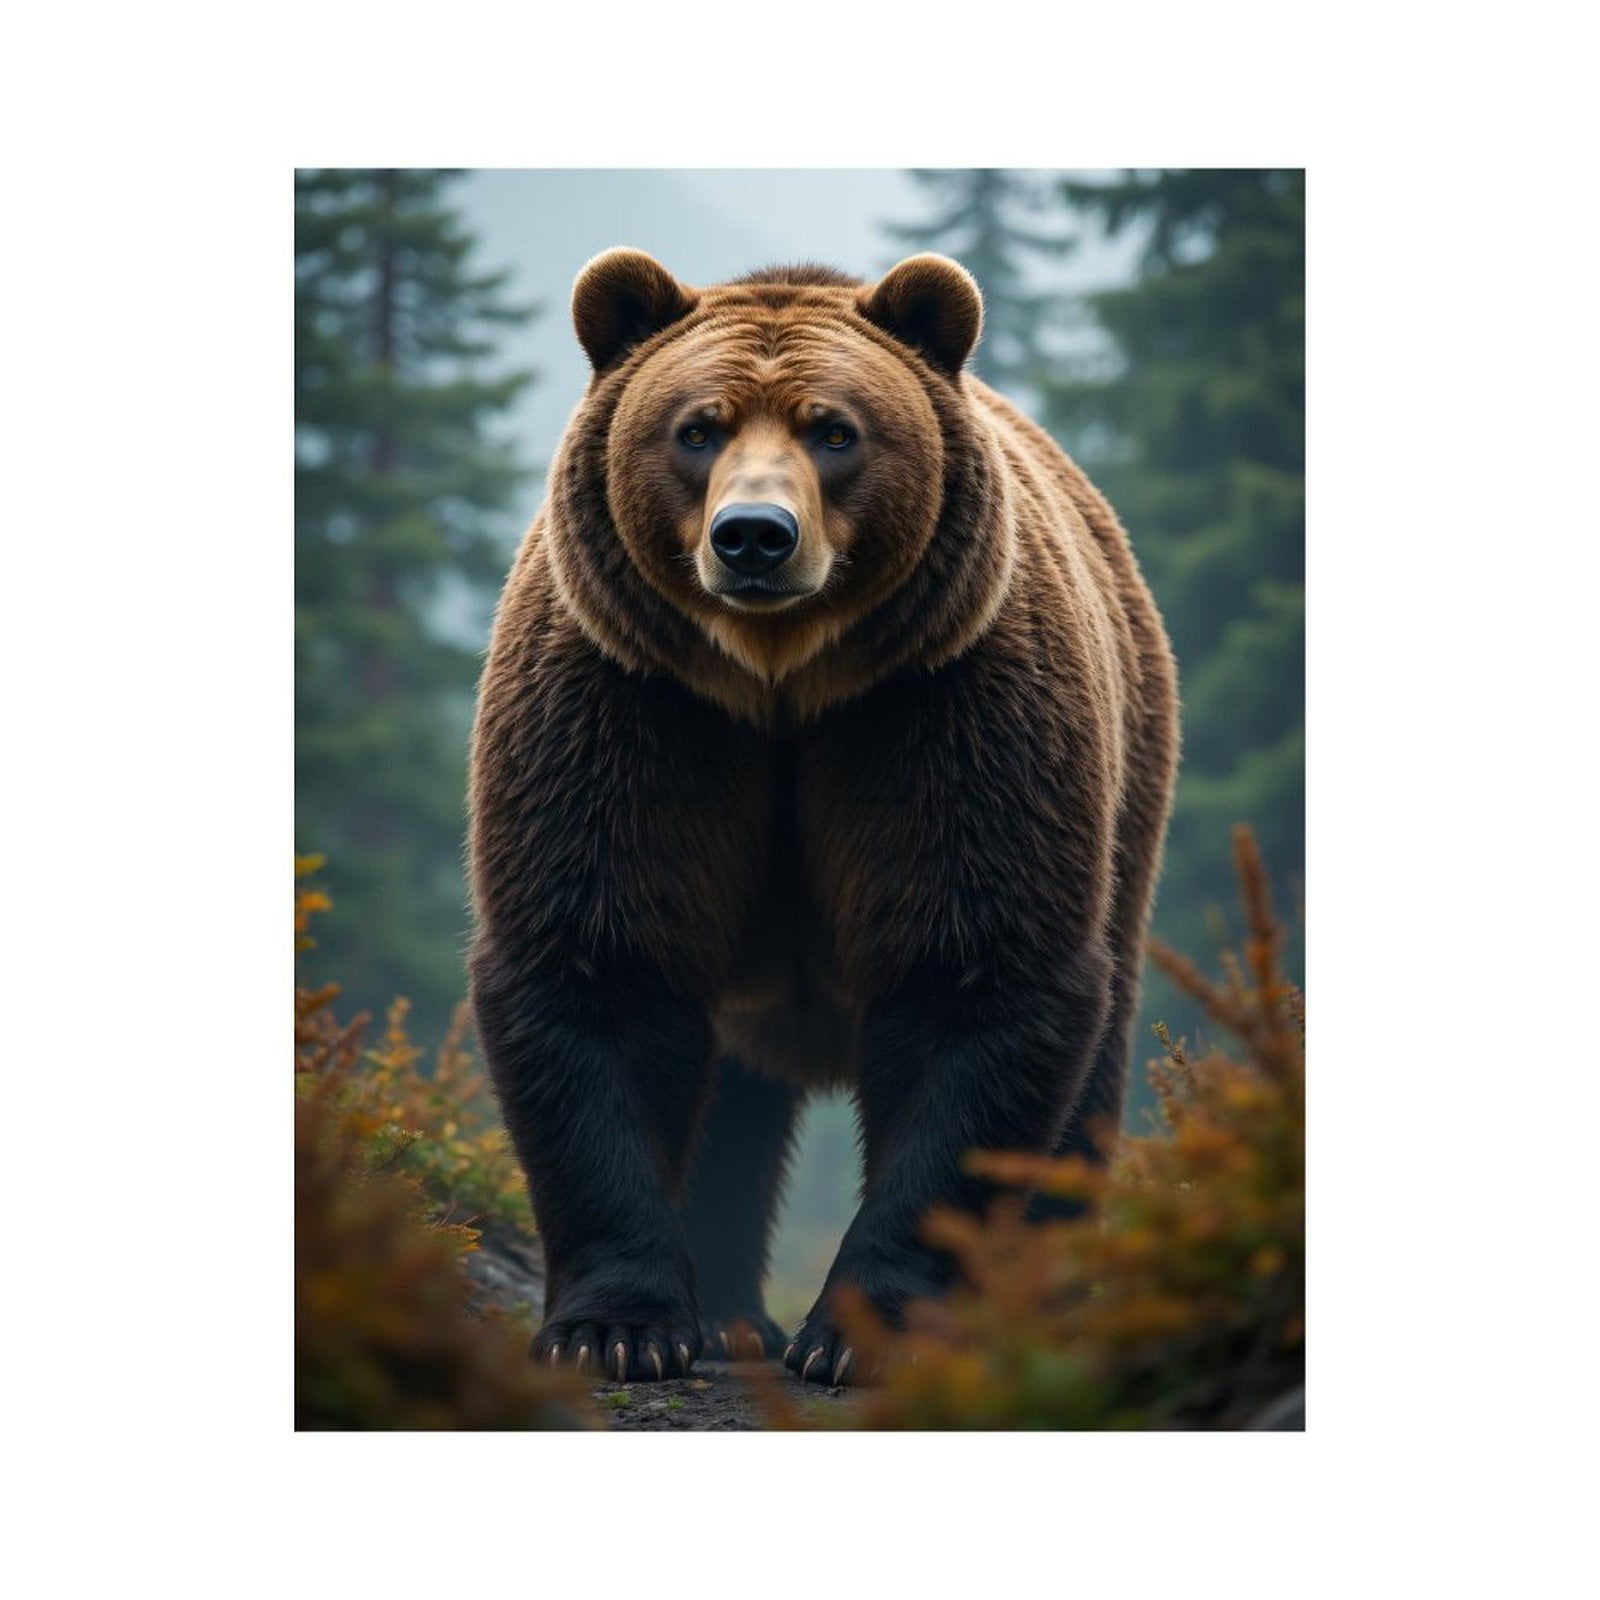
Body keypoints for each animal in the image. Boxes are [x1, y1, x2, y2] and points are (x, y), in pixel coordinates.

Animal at [467, 249, 1179, 1386]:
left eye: (834, 429)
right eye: (698, 427)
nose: (755, 536)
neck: (780, 684)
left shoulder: (944, 713)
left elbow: (969, 980)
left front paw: (862, 1333)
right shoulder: (630, 707)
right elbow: (601, 967)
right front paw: (619, 1328)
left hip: (1126, 800)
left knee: (1089, 1075)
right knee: (732, 1095)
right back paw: (728, 1316)